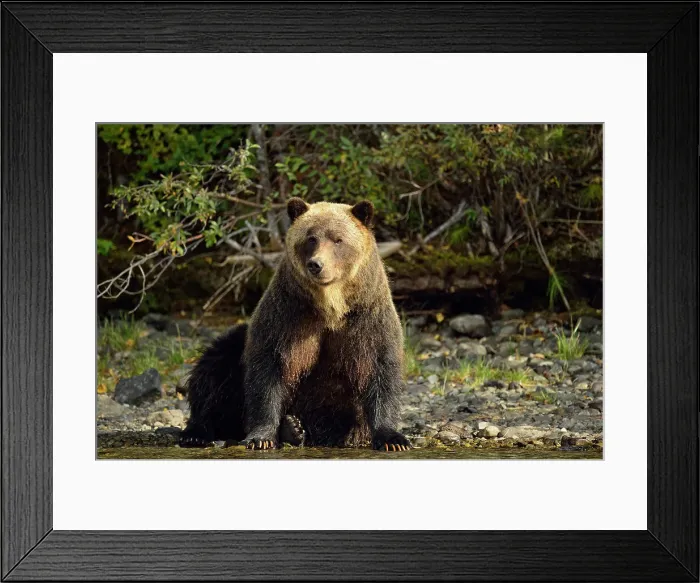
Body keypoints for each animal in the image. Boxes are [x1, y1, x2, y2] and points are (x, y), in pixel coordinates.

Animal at [179, 197, 411, 451]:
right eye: (311, 238)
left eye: (338, 239)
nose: (316, 264)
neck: (331, 307)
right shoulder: (288, 316)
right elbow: (268, 370)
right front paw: (261, 438)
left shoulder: (367, 318)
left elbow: (380, 369)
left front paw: (393, 439)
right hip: (237, 347)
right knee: (214, 368)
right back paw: (198, 433)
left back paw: (295, 429)